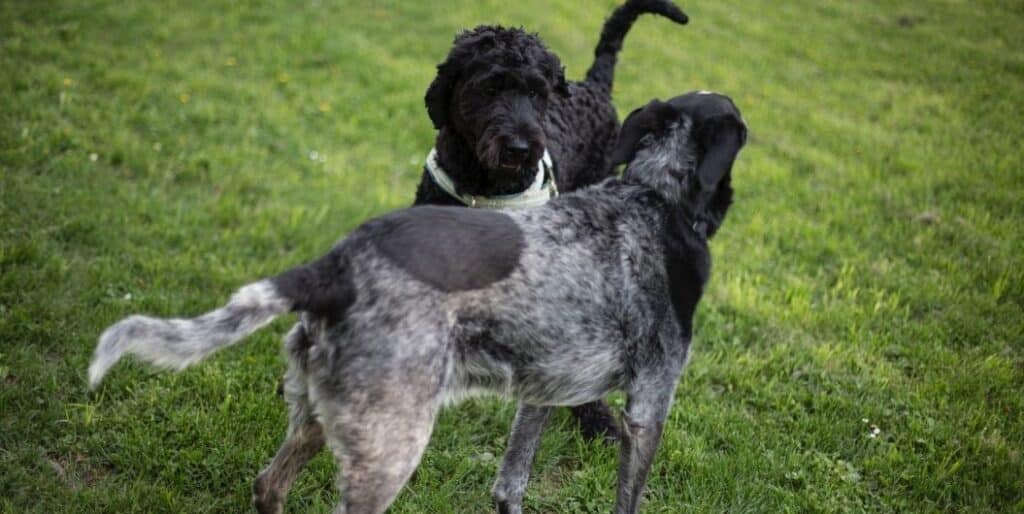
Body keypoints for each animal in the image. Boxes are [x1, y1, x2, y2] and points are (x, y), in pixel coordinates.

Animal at [90, 92, 745, 514]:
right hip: (392, 444)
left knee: (268, 487)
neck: (655, 196)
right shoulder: (649, 406)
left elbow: (510, 485)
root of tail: (333, 266)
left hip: (326, 415)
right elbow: (626, 496)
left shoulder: (544, 391)